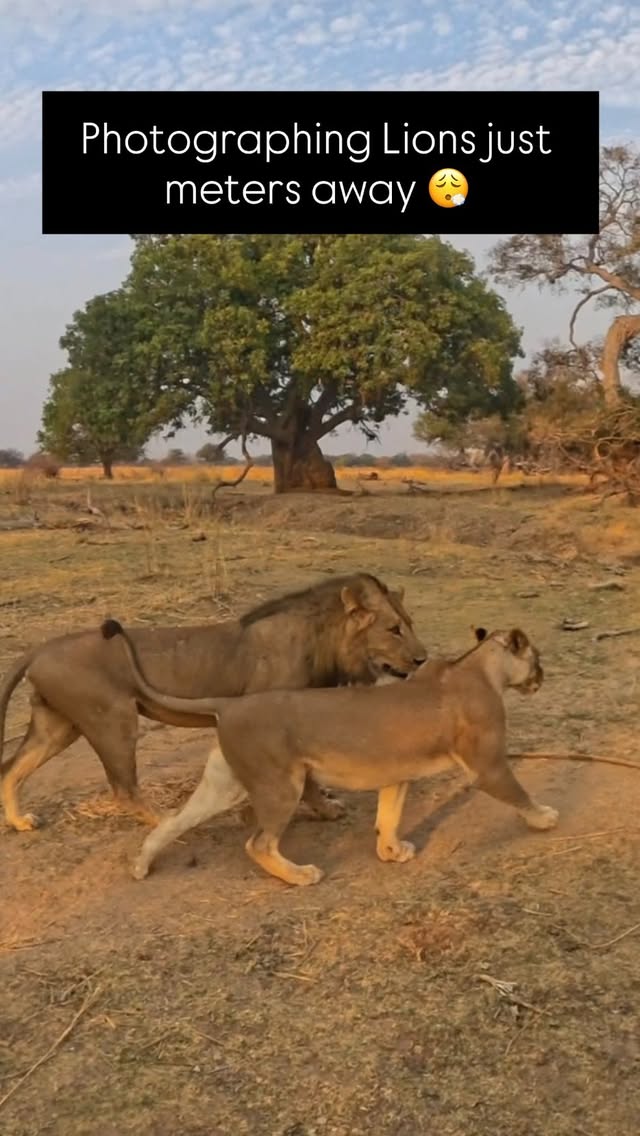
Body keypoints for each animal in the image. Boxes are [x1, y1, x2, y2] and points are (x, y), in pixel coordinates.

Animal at [0, 573, 426, 832]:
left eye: (410, 623)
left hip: (57, 726)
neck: (324, 644)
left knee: (11, 769)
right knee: (123, 787)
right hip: (113, 720)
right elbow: (304, 782)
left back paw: (20, 822)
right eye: (394, 629)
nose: (423, 659)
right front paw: (322, 810)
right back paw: (168, 822)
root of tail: (39, 649)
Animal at [105, 622, 558, 885]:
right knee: (259, 844)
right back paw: (302, 875)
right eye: (537, 658)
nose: (542, 678)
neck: (480, 668)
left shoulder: (396, 773)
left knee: (172, 822)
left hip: (224, 785)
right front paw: (544, 818)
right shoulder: (486, 763)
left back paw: (141, 866)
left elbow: (388, 817)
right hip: (281, 785)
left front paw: (391, 852)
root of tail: (229, 704)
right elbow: (517, 792)